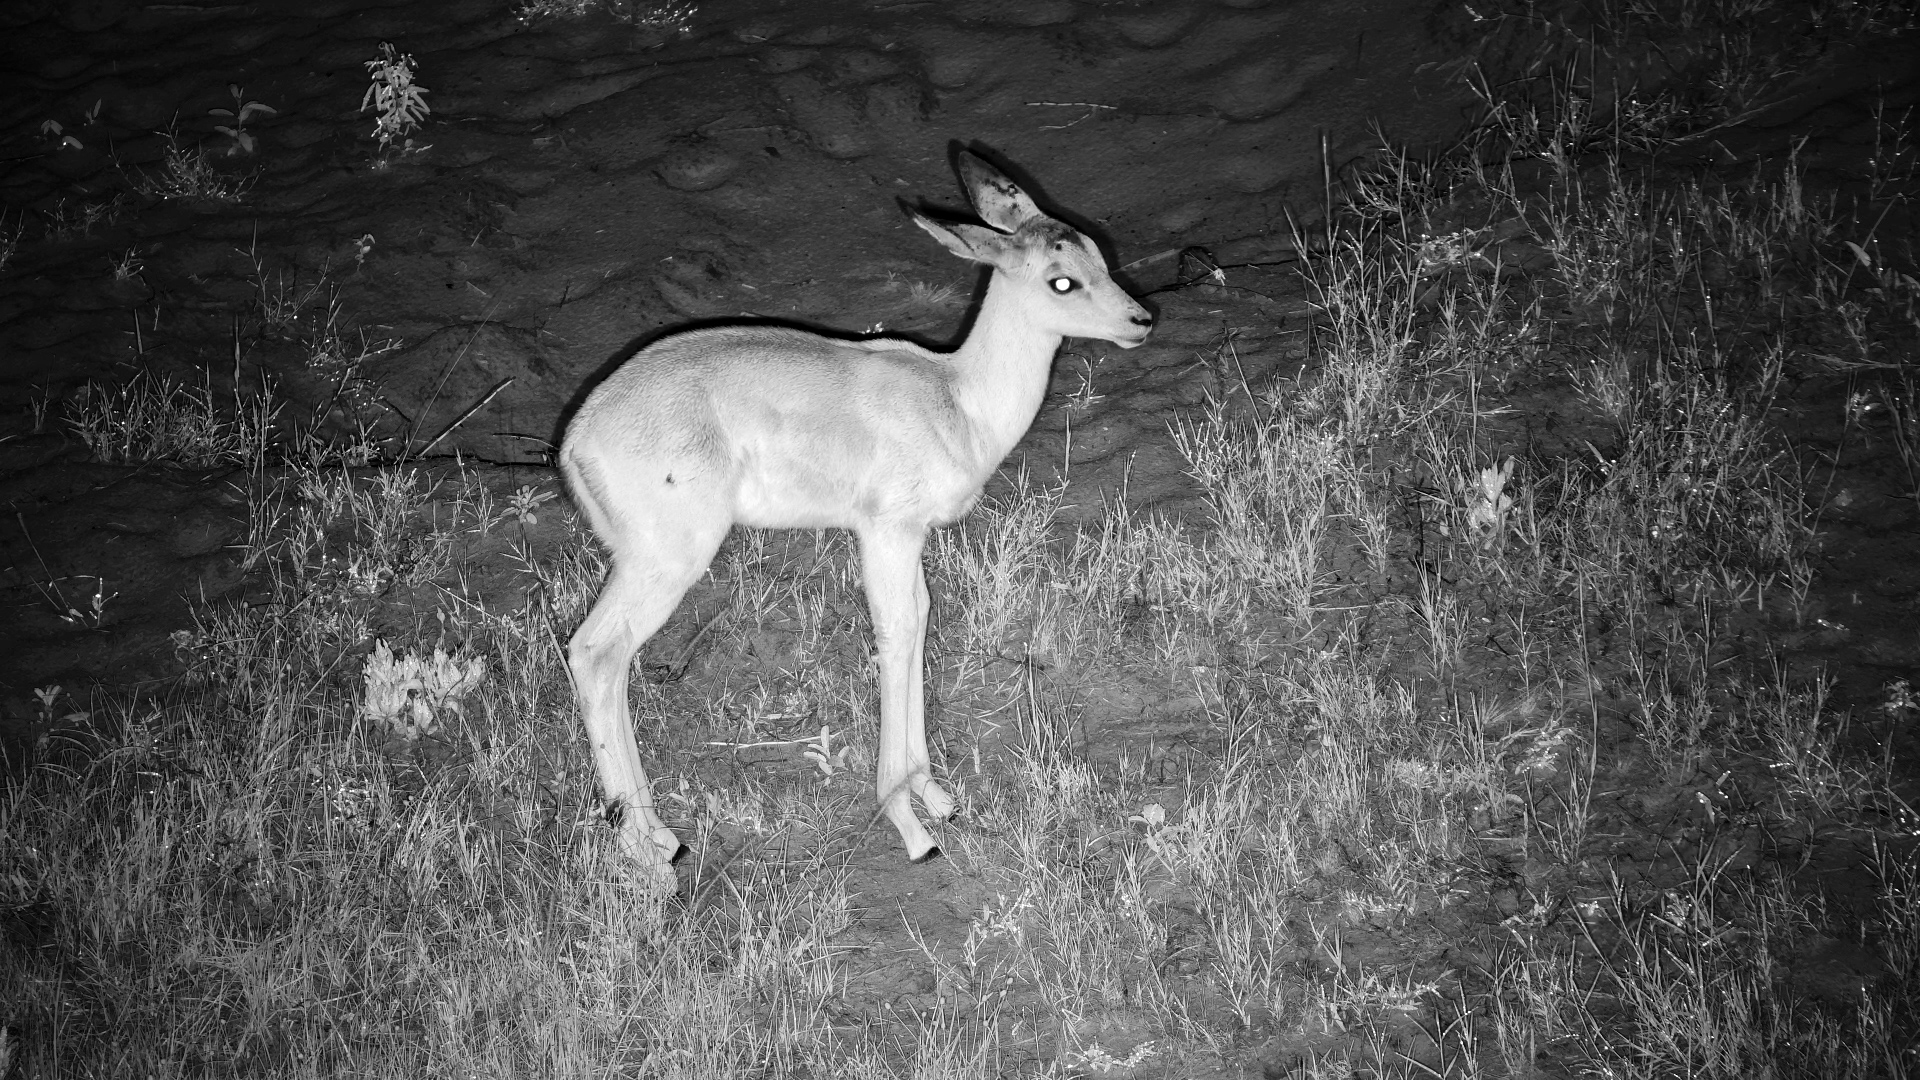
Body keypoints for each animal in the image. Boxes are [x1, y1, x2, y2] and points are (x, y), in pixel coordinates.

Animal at [560, 150, 1153, 888]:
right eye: (1062, 279)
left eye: (1098, 251)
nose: (1141, 319)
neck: (957, 400)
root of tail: (576, 438)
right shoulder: (886, 533)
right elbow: (895, 633)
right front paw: (909, 824)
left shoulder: (912, 540)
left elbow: (921, 620)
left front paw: (934, 794)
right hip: (667, 564)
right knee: (595, 654)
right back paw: (652, 853)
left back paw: (656, 840)